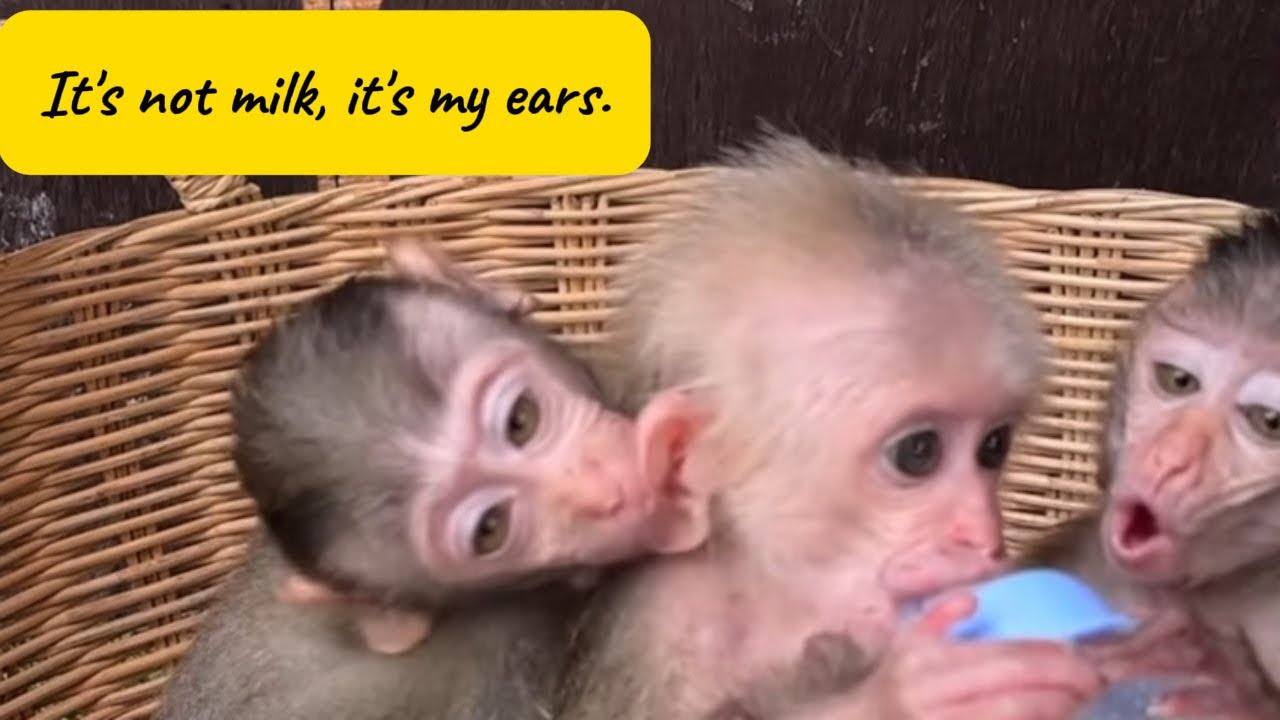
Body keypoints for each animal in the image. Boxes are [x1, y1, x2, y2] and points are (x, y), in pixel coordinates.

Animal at [546, 131, 1106, 720]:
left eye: (993, 446)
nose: (980, 534)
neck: (776, 595)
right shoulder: (674, 626)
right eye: (919, 452)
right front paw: (901, 692)